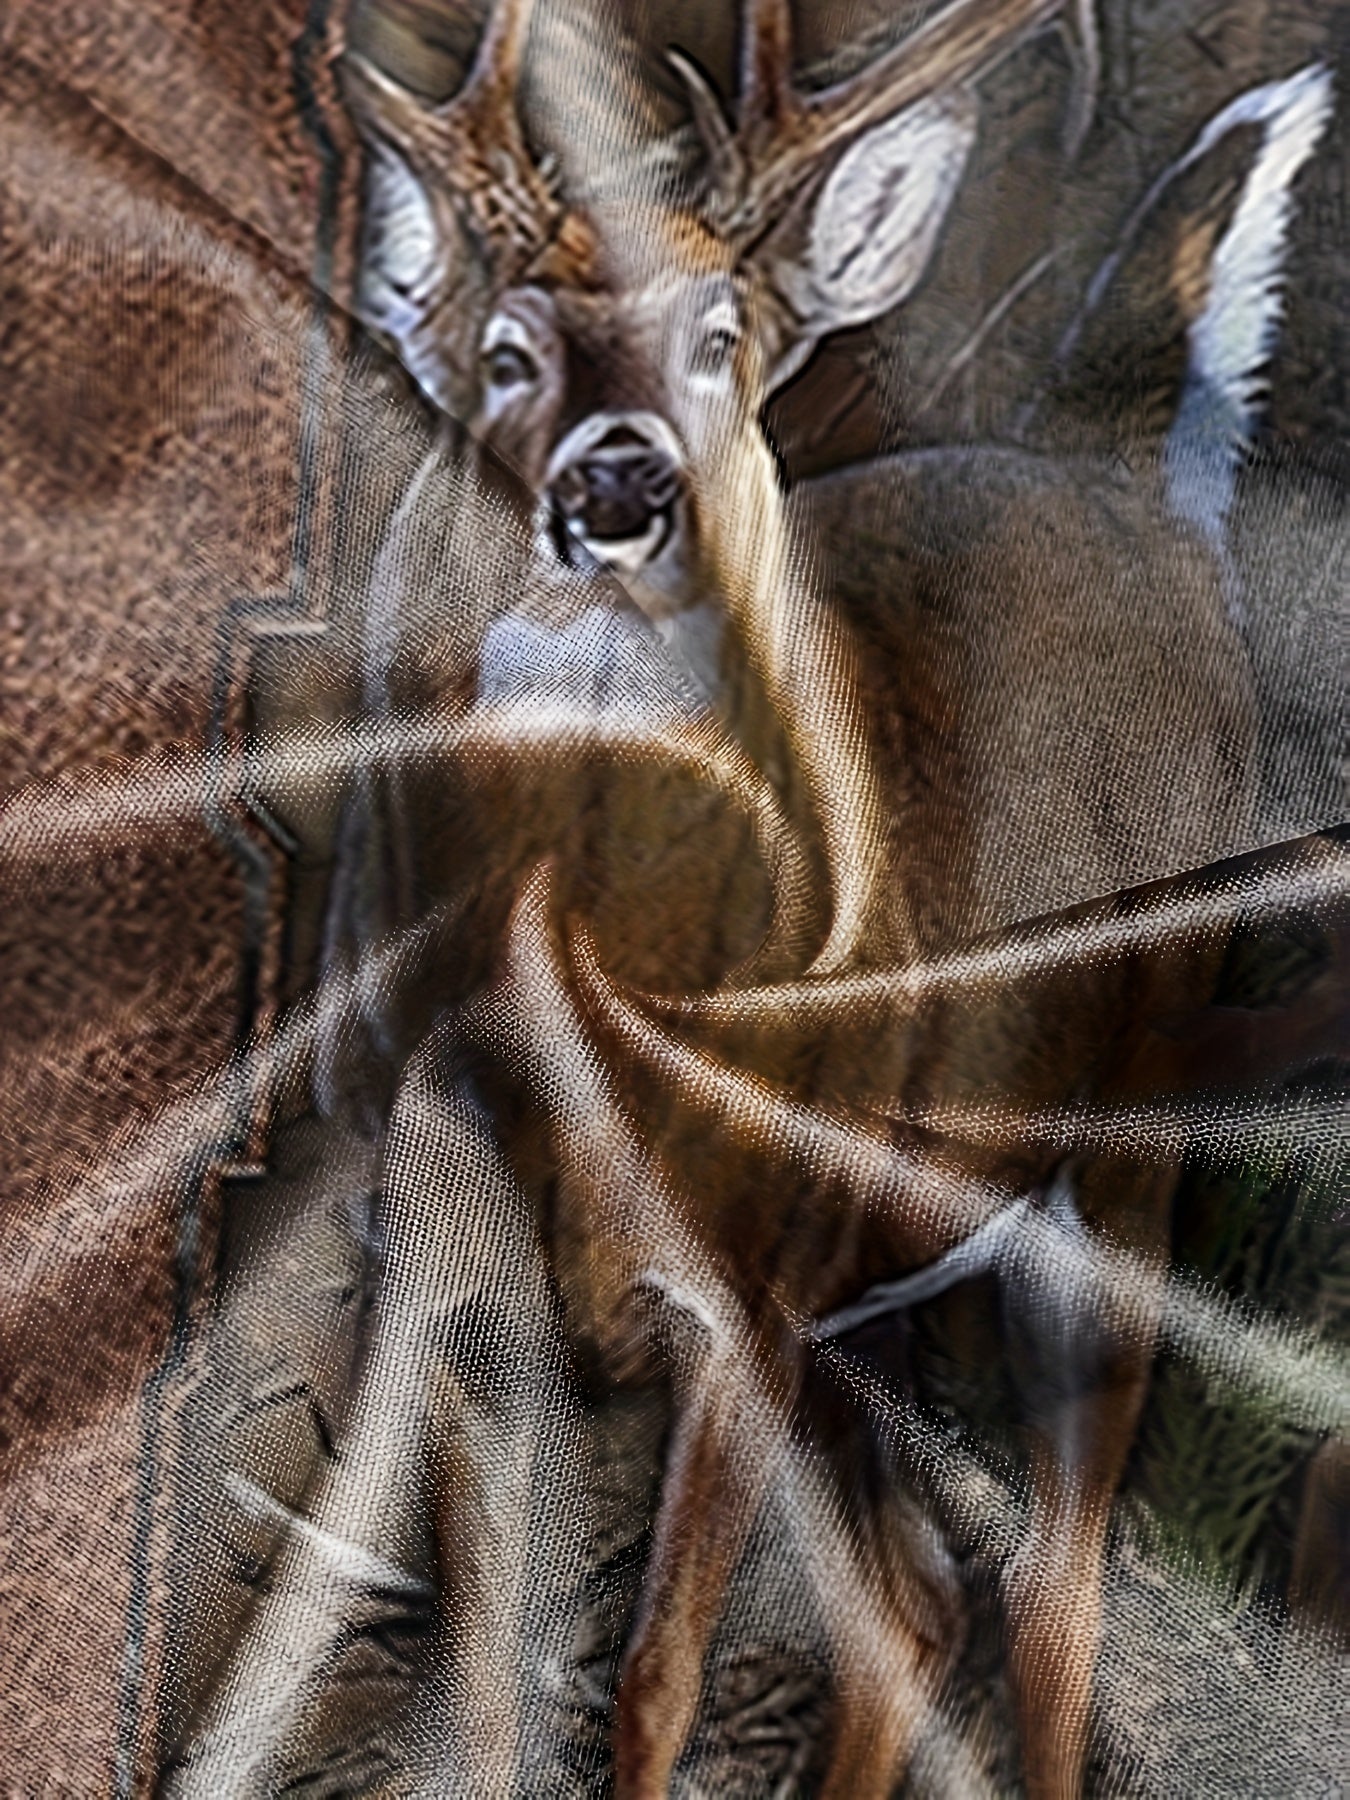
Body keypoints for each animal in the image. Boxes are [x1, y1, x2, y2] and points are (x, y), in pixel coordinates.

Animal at [165, 0, 1339, 1794]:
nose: (620, 483)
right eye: (506, 352)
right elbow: (489, 1692)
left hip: (1100, 1168)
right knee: (915, 1601)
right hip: (869, 1290)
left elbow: (653, 1676)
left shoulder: (741, 1303)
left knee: (1054, 1589)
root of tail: (1132, 493)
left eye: (721, 336)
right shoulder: (459, 1283)